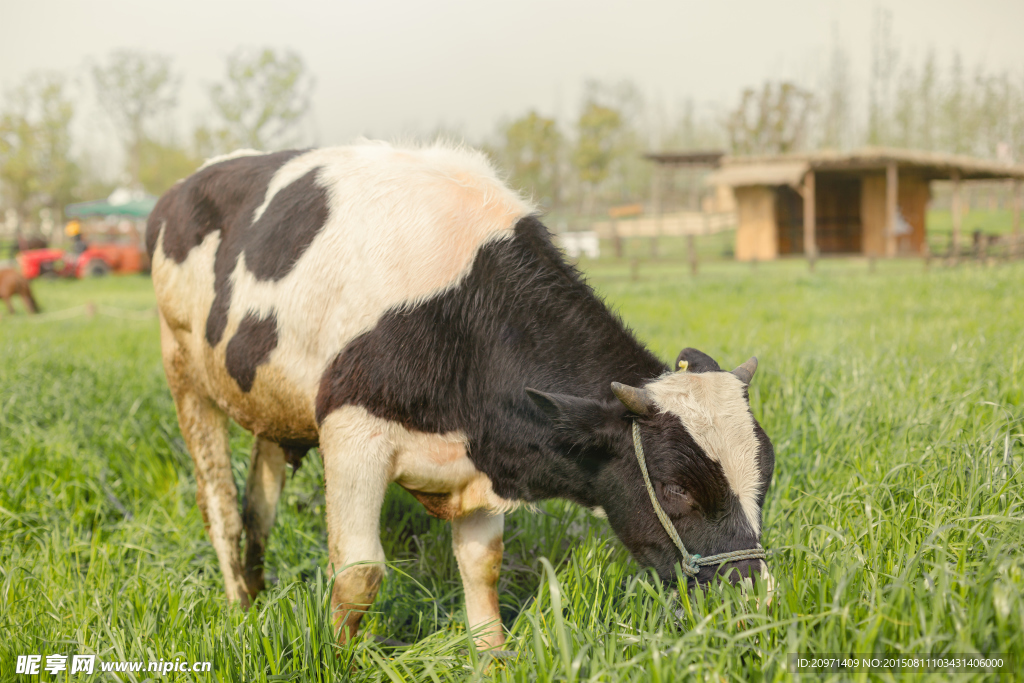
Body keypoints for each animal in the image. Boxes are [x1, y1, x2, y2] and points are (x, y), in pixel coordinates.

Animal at [146, 141, 774, 651]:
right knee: (222, 507)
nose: (754, 602)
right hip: (181, 367)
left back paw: (255, 598)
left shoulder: (483, 456)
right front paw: (339, 658)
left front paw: (491, 655)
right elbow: (359, 572)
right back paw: (238, 604)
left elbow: (483, 565)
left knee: (258, 510)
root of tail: (182, 186)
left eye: (766, 476)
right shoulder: (351, 430)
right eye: (674, 489)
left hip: (273, 404)